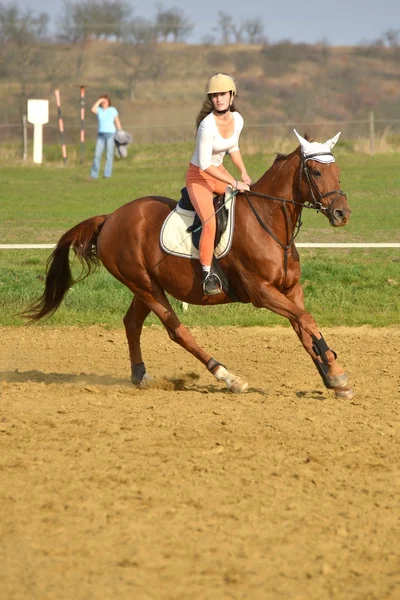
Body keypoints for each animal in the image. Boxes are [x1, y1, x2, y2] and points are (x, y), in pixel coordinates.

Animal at [25, 132, 354, 400]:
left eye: (337, 171)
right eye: (315, 171)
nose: (342, 214)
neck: (269, 222)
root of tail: (110, 218)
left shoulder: (291, 290)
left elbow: (306, 330)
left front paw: (332, 376)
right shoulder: (262, 293)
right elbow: (307, 321)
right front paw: (336, 374)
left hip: (145, 287)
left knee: (132, 323)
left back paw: (141, 375)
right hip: (145, 286)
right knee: (177, 331)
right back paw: (228, 377)